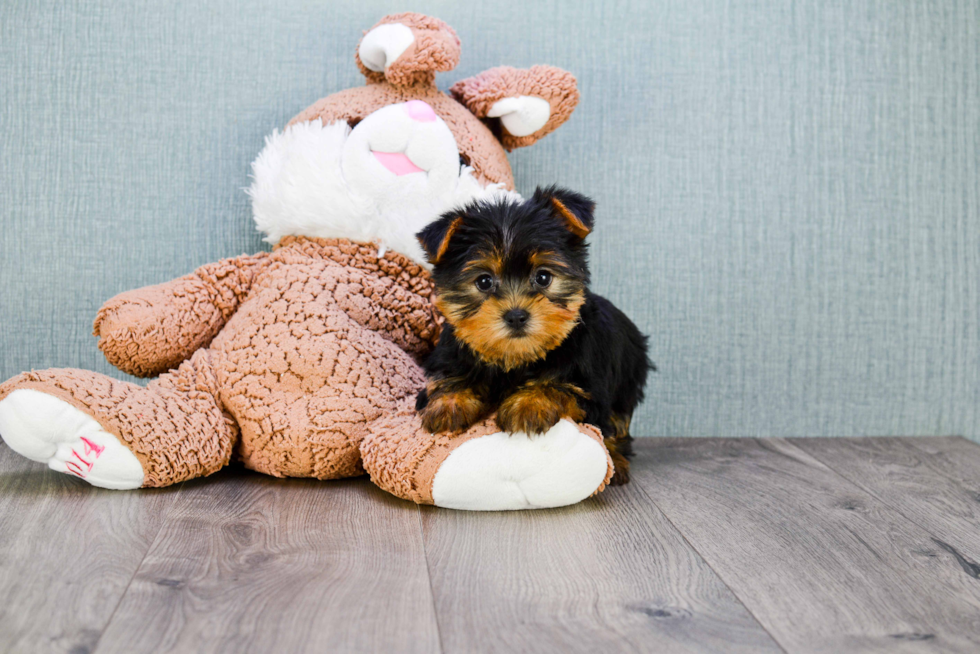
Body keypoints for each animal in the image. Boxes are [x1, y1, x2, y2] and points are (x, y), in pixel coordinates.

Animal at [412, 187, 652, 484]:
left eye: (543, 277)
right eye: (484, 281)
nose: (516, 315)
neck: (516, 357)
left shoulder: (590, 389)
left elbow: (559, 386)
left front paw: (528, 404)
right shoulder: (452, 354)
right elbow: (448, 378)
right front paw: (448, 403)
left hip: (626, 384)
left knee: (618, 424)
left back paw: (616, 460)